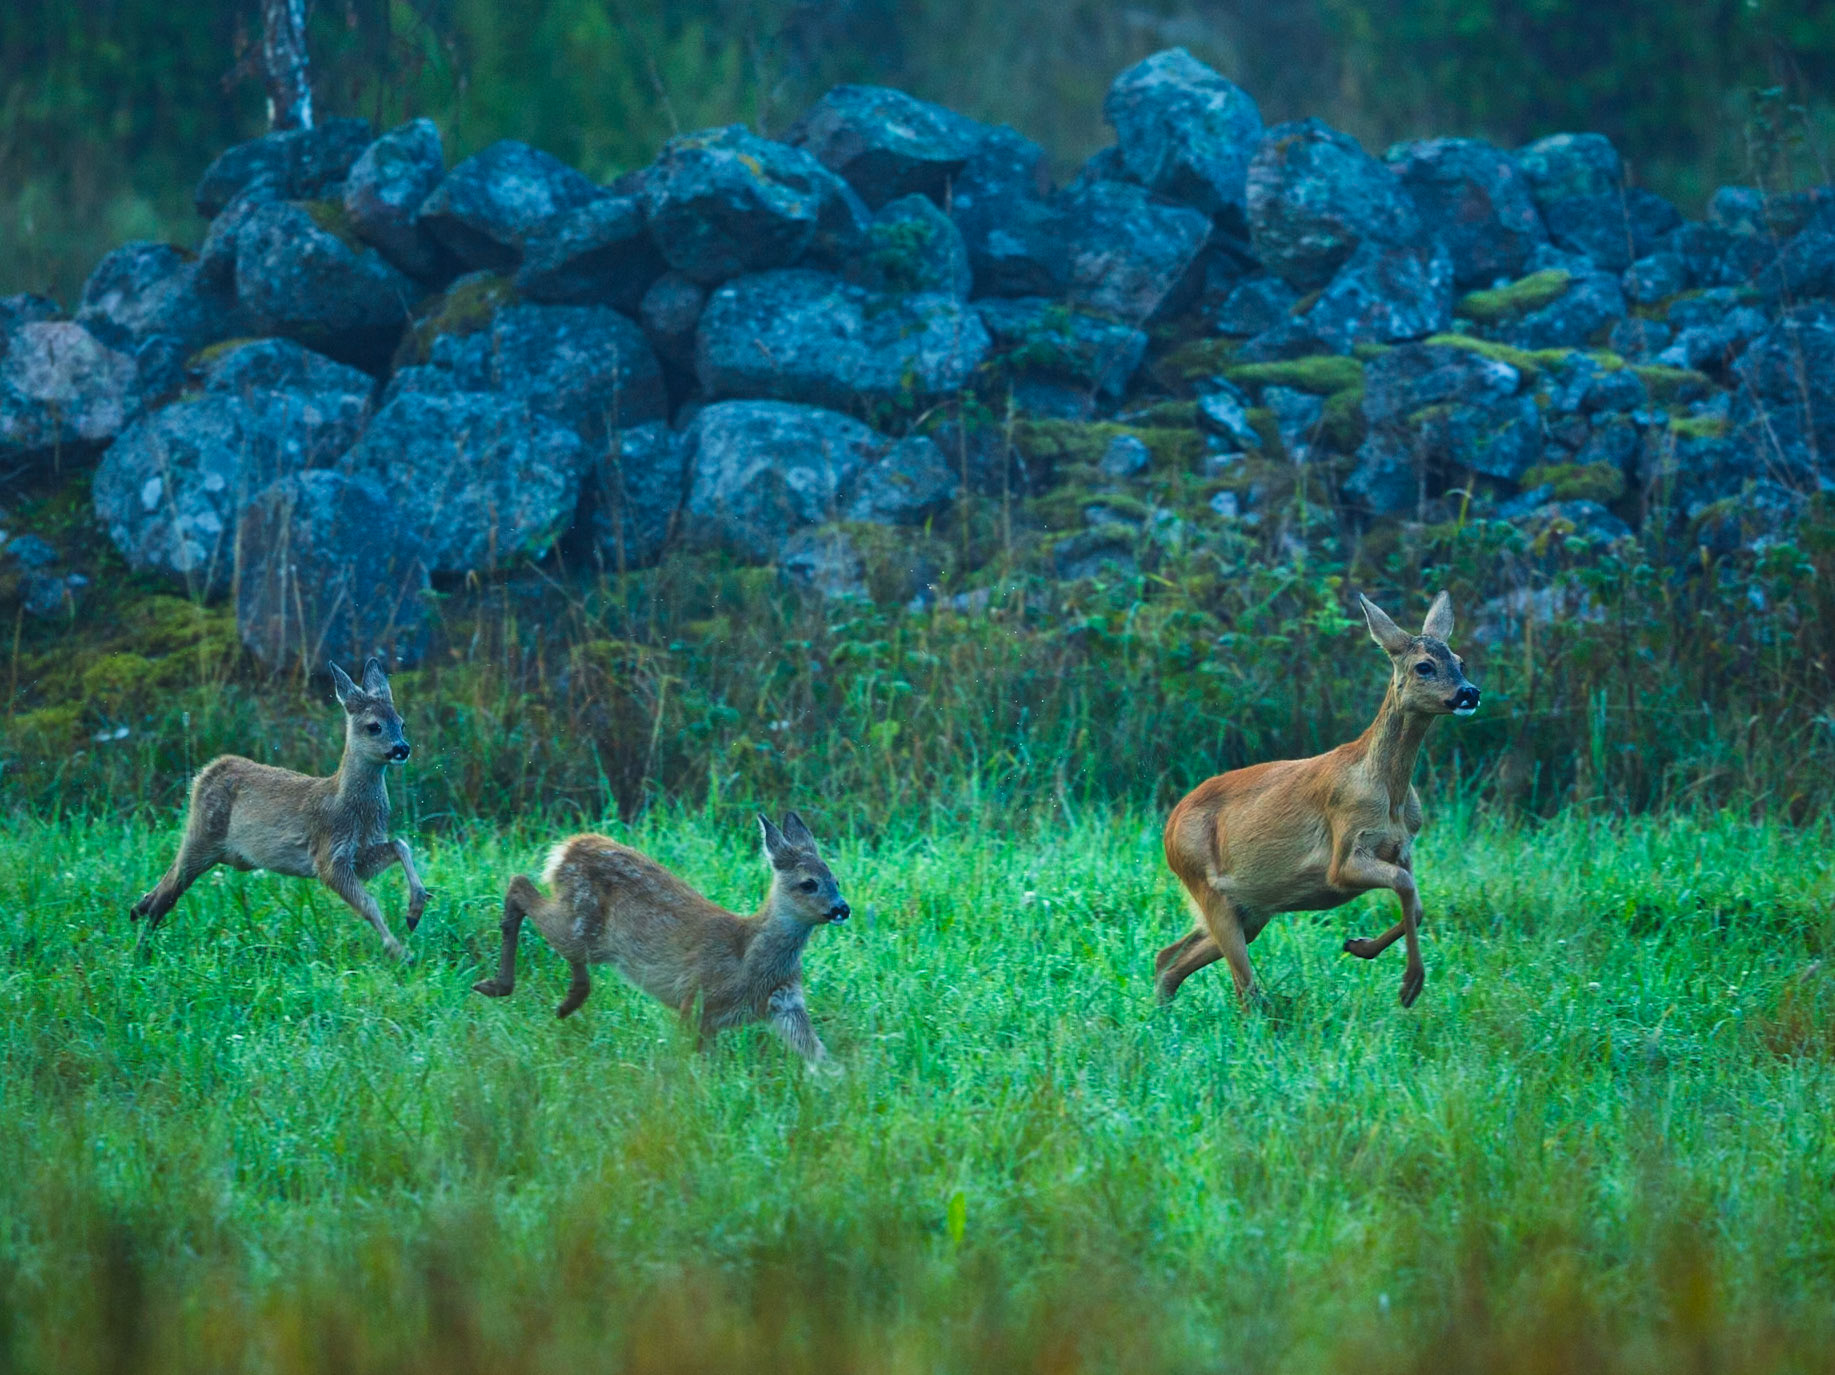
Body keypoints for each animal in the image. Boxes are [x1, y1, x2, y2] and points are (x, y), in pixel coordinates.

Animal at [129, 659, 429, 958]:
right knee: (169, 891)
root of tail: (205, 772)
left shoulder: (360, 854)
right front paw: (400, 951)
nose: (402, 748)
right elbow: (369, 904)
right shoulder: (329, 854)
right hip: (202, 834)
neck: (351, 807)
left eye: (402, 724)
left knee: (166, 884)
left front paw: (414, 912)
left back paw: (137, 912)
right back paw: (140, 948)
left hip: (223, 851)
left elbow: (400, 845)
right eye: (373, 726)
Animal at [471, 812, 851, 1069]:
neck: (749, 958)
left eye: (836, 880)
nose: (842, 908)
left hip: (585, 929)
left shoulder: (786, 1003)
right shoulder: (696, 998)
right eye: (808, 883)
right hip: (580, 921)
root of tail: (567, 848)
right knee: (519, 884)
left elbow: (819, 1055)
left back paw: (566, 1002)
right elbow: (693, 1061)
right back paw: (496, 986)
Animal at [1156, 592, 1479, 1010]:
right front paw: (1410, 984)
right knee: (1243, 989)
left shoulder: (1403, 847)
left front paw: (1358, 946)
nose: (1469, 692)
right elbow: (1404, 885)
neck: (1388, 794)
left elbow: (1418, 903)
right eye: (1424, 666)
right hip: (1206, 882)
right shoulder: (1343, 852)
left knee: (1169, 959)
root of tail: (1169, 828)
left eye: (1460, 661)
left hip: (1250, 907)